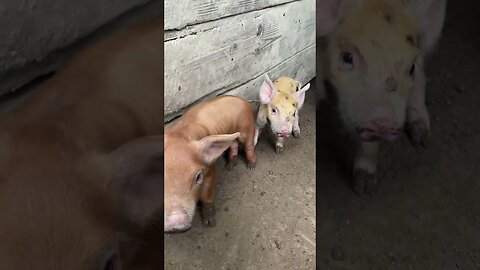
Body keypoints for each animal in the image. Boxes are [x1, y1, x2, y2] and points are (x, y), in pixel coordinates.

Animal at [164, 95, 256, 232]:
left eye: (198, 177)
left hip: (247, 126)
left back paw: (251, 166)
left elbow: (207, 195)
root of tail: (242, 99)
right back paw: (229, 167)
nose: (177, 223)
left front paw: (210, 224)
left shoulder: (209, 169)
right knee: (233, 143)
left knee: (248, 145)